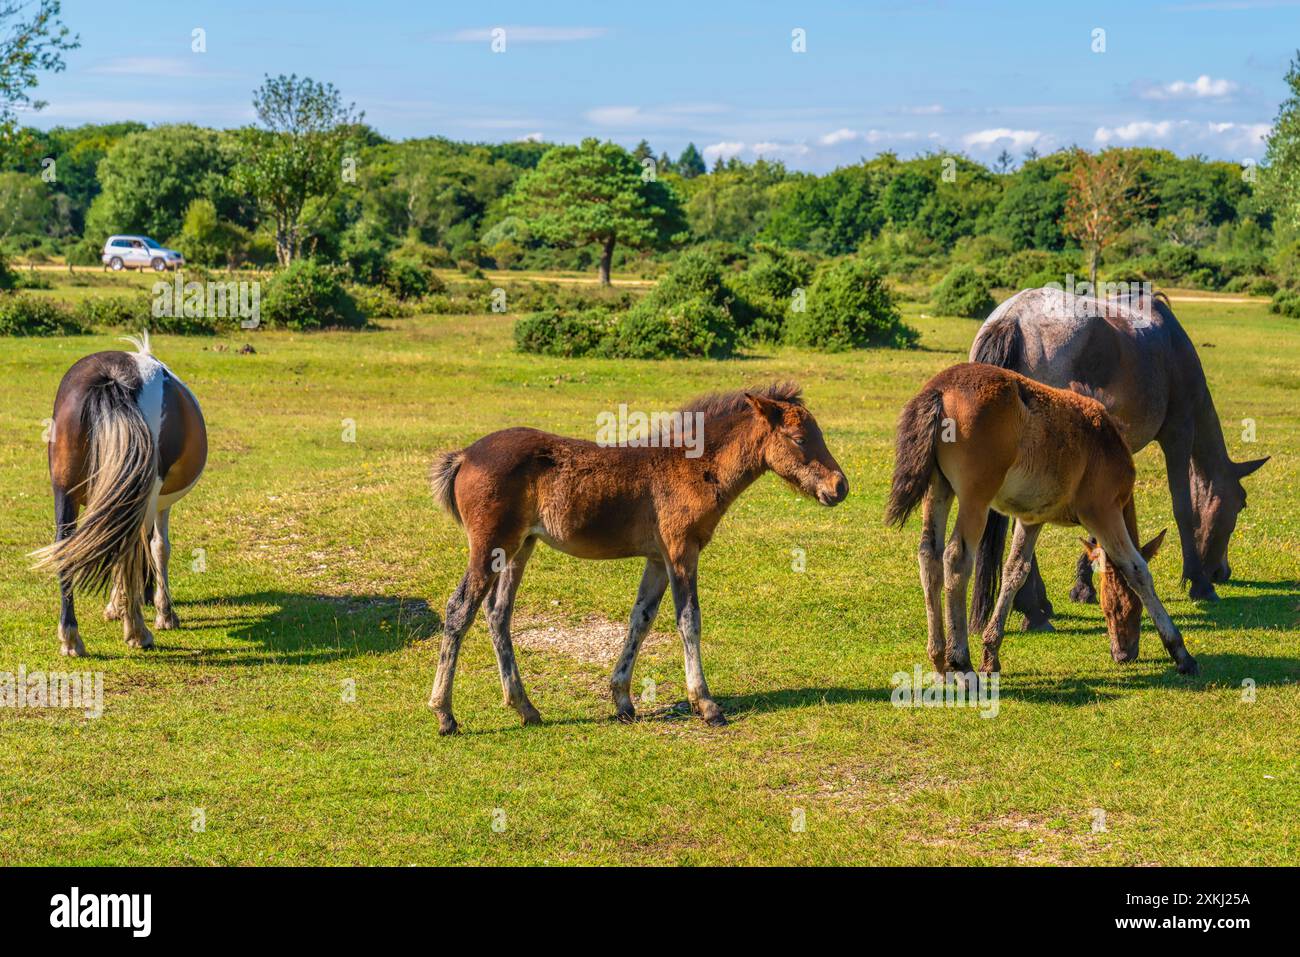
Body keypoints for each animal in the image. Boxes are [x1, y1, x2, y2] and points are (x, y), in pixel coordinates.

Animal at [32, 334, 207, 656]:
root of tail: (112, 378)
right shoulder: (159, 504)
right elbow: (158, 548)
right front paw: (163, 612)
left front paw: (117, 605)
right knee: (130, 548)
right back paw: (138, 631)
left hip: (64, 491)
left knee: (65, 547)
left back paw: (71, 637)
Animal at [426, 382, 849, 735]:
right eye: (799, 438)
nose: (840, 486)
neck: (693, 465)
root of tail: (464, 456)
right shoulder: (681, 551)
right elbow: (689, 620)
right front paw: (706, 704)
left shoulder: (658, 560)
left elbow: (640, 620)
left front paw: (623, 700)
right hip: (490, 546)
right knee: (460, 609)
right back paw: (445, 714)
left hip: (520, 548)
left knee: (497, 613)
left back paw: (526, 708)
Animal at [886, 362, 1197, 677]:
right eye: (1121, 607)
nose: (1124, 654)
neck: (1103, 441)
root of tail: (940, 388)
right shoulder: (1103, 511)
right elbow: (1136, 570)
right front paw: (1180, 652)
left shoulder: (1031, 519)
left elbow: (1015, 571)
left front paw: (991, 653)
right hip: (976, 499)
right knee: (956, 558)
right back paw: (960, 661)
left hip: (938, 488)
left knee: (929, 555)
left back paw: (939, 658)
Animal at [969, 286, 1267, 633]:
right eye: (1240, 505)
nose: (1221, 572)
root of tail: (1012, 317)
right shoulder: (1178, 433)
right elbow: (1182, 507)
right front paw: (1199, 583)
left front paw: (1083, 586)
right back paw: (1033, 609)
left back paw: (1035, 605)